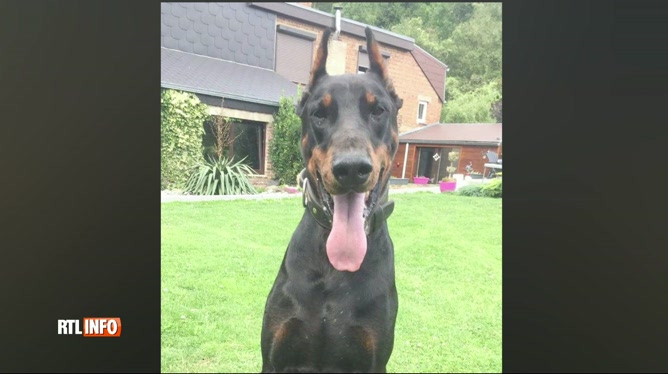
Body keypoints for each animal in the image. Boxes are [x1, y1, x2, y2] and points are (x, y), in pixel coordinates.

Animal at [262, 27, 402, 374]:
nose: (351, 168)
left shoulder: (373, 359)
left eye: (378, 110)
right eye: (319, 113)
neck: (333, 269)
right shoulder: (274, 357)